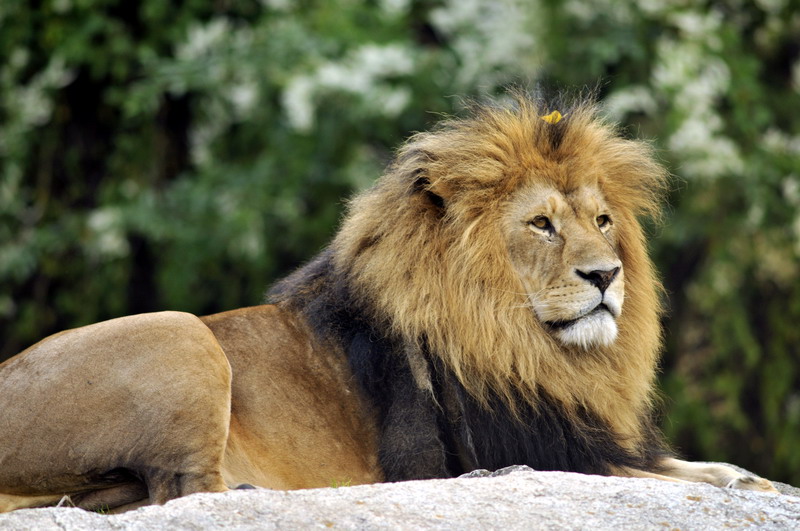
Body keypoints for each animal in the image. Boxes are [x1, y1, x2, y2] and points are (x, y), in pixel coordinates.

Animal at [0, 93, 777, 513]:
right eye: (541, 224)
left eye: (604, 220)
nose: (606, 275)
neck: (532, 348)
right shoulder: (517, 449)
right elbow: (637, 474)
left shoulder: (572, 433)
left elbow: (679, 468)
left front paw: (741, 476)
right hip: (181, 331)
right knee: (183, 488)